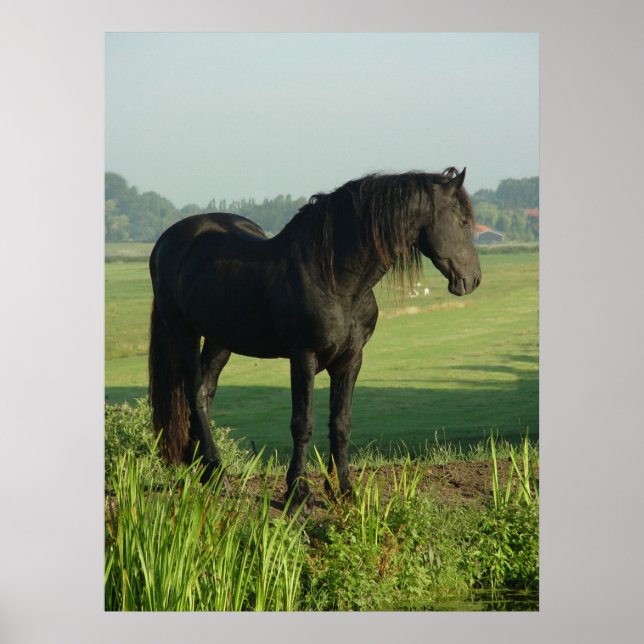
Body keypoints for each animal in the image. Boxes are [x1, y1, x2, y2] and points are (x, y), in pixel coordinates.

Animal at [148, 167, 481, 502]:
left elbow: (341, 422)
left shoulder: (351, 359)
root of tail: (165, 241)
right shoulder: (303, 357)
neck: (336, 278)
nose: (474, 279)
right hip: (183, 331)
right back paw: (216, 472)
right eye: (462, 221)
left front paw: (343, 489)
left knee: (207, 391)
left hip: (220, 340)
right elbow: (302, 423)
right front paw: (298, 490)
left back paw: (202, 468)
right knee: (195, 393)